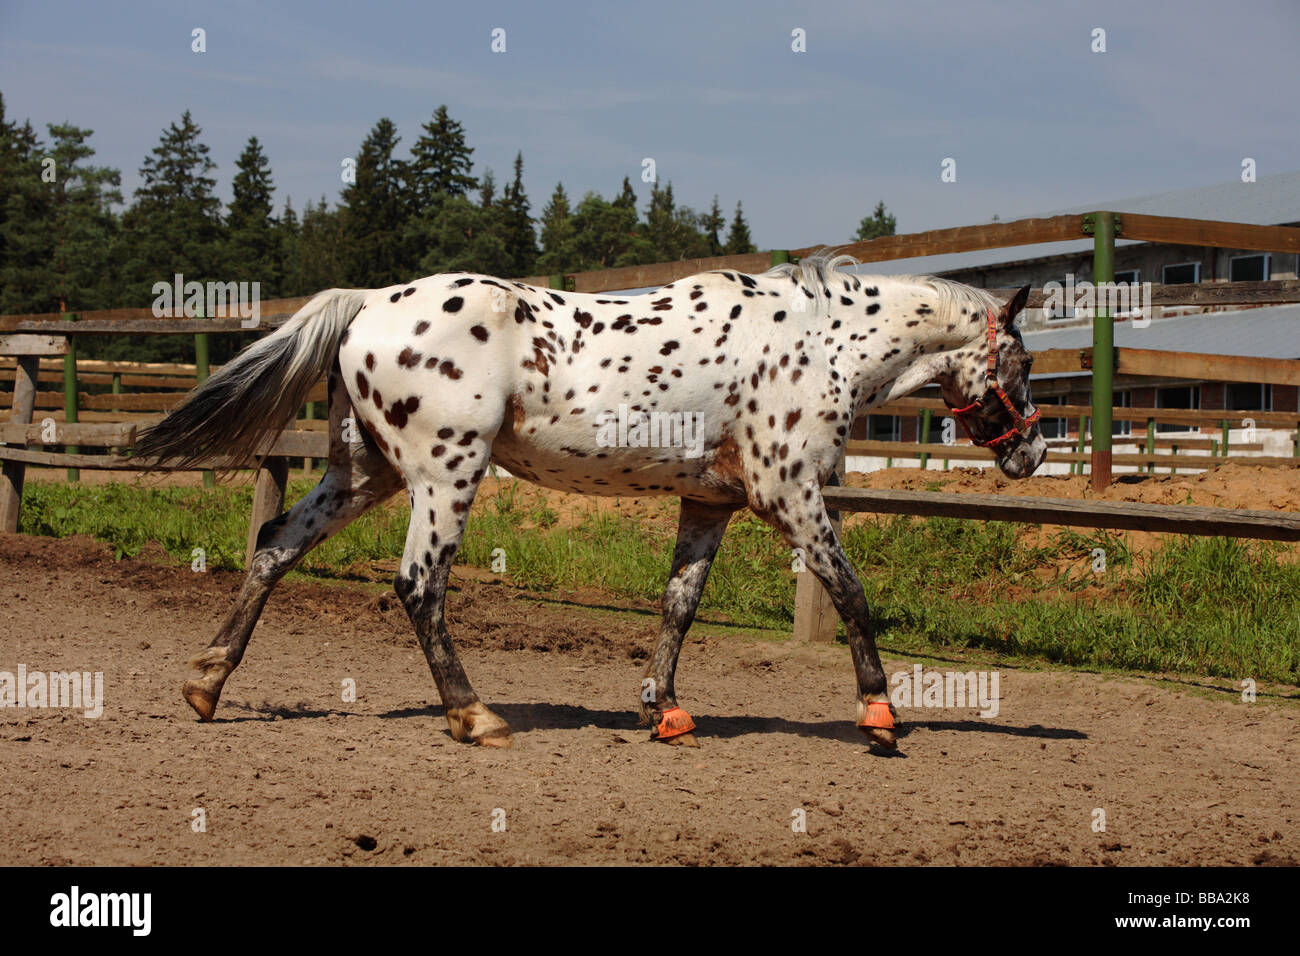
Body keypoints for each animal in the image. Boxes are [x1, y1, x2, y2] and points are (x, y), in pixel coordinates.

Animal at [134, 257, 1045, 749]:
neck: (818, 344)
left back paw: (206, 687)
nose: (1031, 453)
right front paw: (881, 716)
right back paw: (475, 717)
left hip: (365, 474)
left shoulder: (709, 505)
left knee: (274, 544)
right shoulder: (790, 493)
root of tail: (368, 302)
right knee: (420, 587)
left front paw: (665, 712)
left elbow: (679, 606)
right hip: (443, 474)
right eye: (1026, 363)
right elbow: (852, 594)